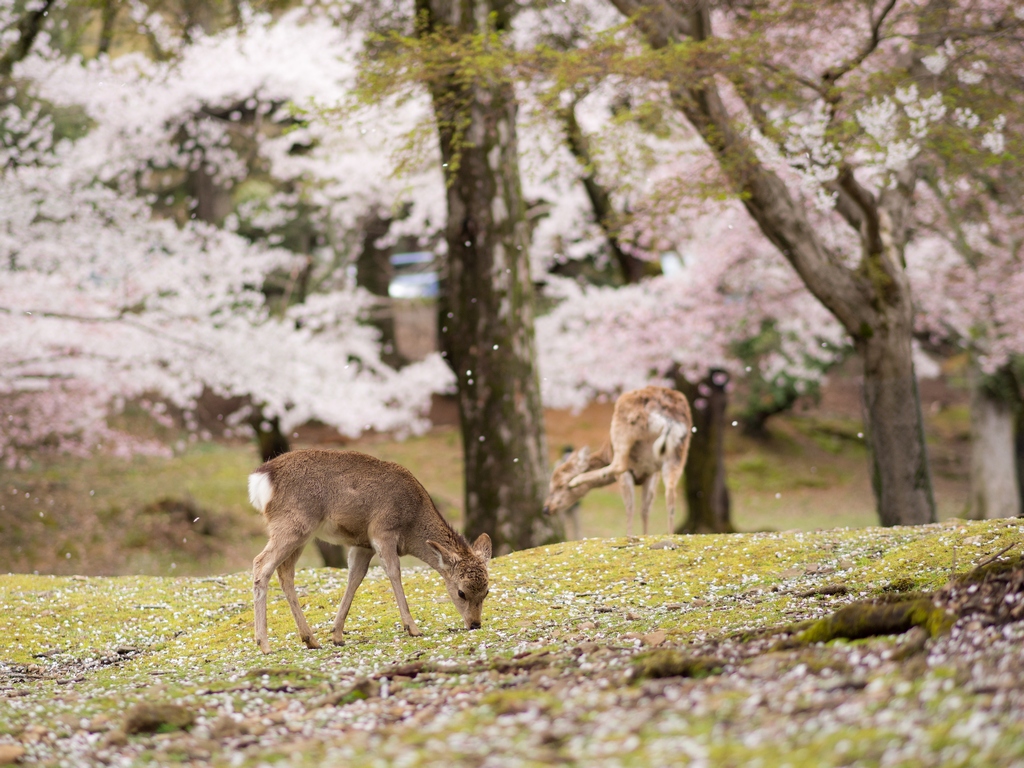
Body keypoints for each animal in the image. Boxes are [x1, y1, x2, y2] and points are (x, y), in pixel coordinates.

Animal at [245, 450, 489, 655]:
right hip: (292, 525)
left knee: (285, 572)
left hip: (302, 533)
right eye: (461, 592)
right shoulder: (382, 531)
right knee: (260, 563)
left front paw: (337, 635)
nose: (475, 624)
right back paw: (264, 644)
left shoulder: (362, 545)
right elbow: (394, 572)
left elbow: (355, 578)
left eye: (486, 591)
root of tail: (260, 479)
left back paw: (310, 639)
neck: (412, 524)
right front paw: (412, 628)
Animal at [540, 387, 692, 536]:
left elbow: (630, 507)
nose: (546, 508)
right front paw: (645, 535)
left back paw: (577, 480)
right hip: (678, 450)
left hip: (622, 426)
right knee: (671, 492)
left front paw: (630, 535)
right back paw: (671, 534)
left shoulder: (630, 473)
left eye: (560, 485)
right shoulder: (652, 473)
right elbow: (645, 509)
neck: (606, 453)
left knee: (619, 464)